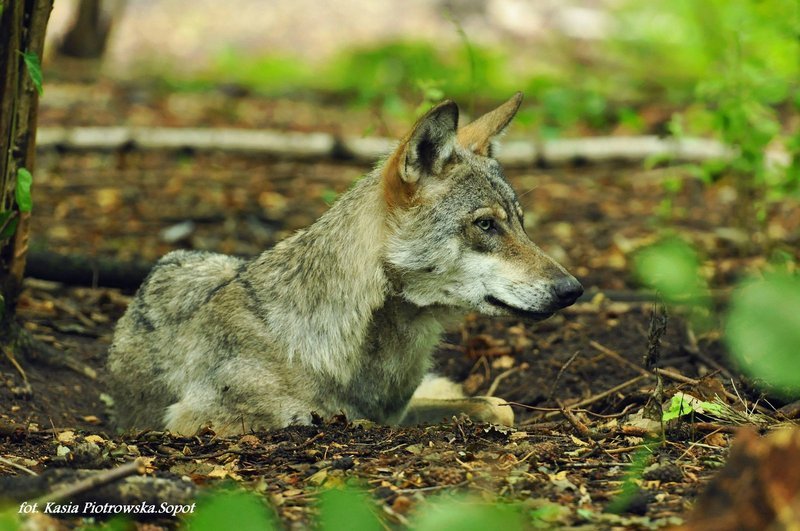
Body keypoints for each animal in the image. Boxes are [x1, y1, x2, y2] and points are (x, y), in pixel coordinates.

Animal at [107, 93, 583, 436]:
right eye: (485, 224)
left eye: (520, 223)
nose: (573, 290)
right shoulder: (196, 418)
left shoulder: (400, 409)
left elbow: (498, 407)